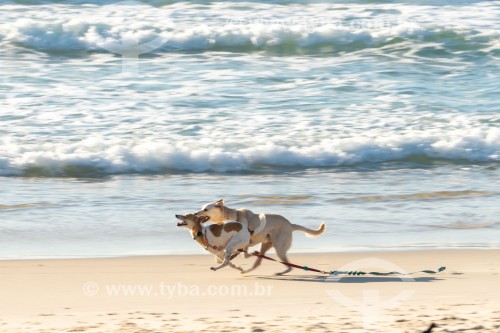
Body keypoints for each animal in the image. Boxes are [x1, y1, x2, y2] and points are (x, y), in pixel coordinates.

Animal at [195, 198, 324, 274]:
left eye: (205, 209)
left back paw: (280, 272)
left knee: (289, 265)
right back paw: (247, 269)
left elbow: (239, 253)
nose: (195, 213)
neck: (231, 216)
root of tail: (290, 224)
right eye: (201, 208)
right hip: (266, 245)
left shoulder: (243, 242)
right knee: (259, 261)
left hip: (279, 247)